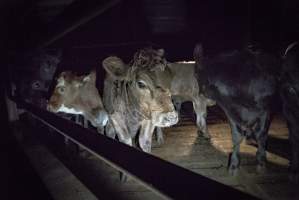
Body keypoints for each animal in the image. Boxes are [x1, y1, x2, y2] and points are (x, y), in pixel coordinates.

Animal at [193, 43, 280, 175]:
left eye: (196, 74)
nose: (201, 93)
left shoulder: (266, 110)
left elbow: (261, 134)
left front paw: (261, 162)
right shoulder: (231, 111)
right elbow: (236, 135)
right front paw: (234, 165)